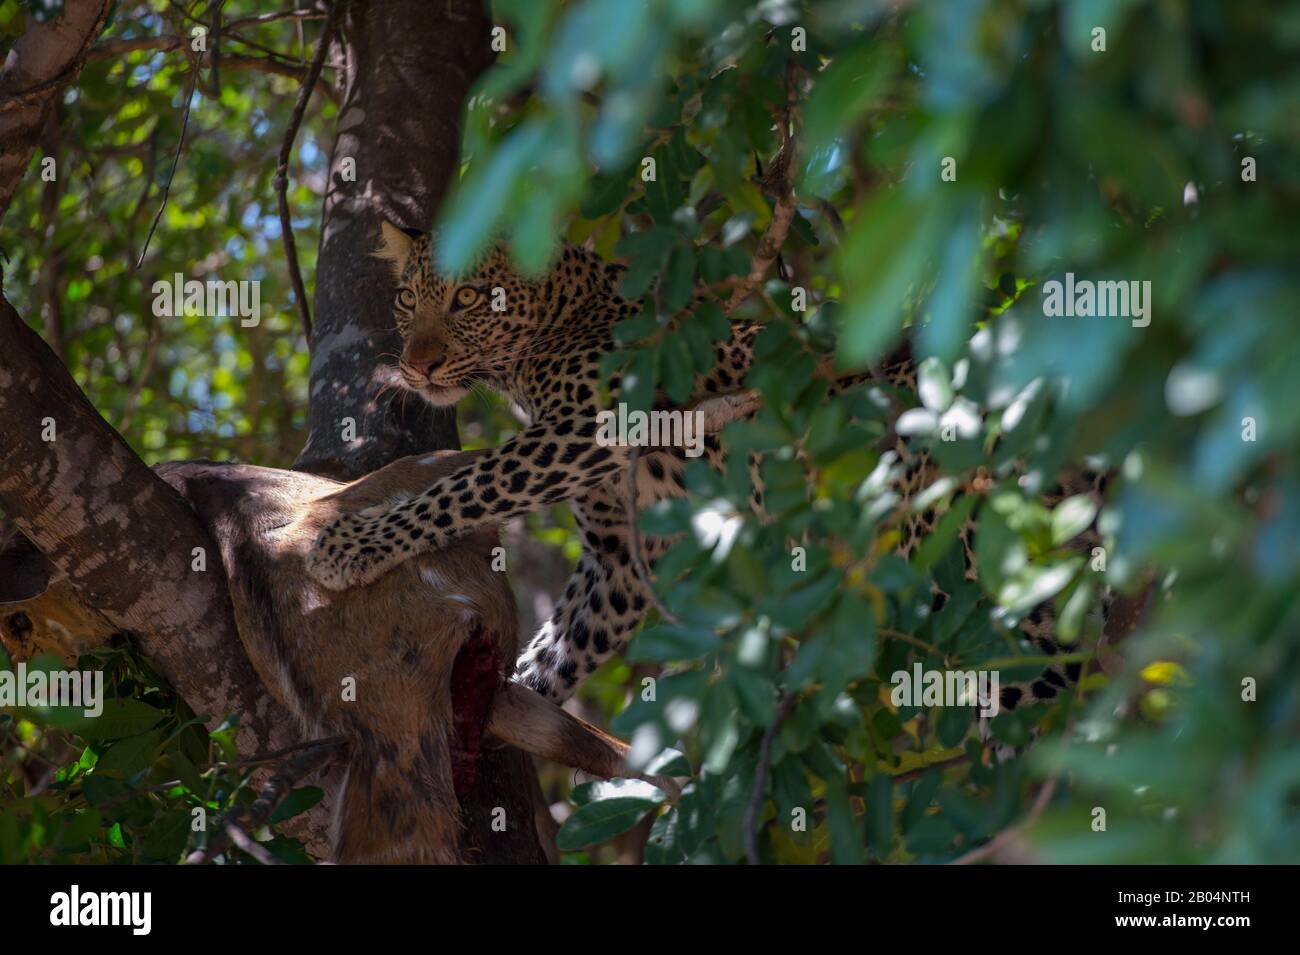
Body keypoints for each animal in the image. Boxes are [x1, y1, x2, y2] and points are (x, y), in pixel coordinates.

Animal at [305, 220, 1102, 721]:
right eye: (408, 298)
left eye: (468, 298)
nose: (417, 365)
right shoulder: (622, 554)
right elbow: (564, 640)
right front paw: (512, 692)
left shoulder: (592, 427)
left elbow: (464, 486)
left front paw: (348, 545)